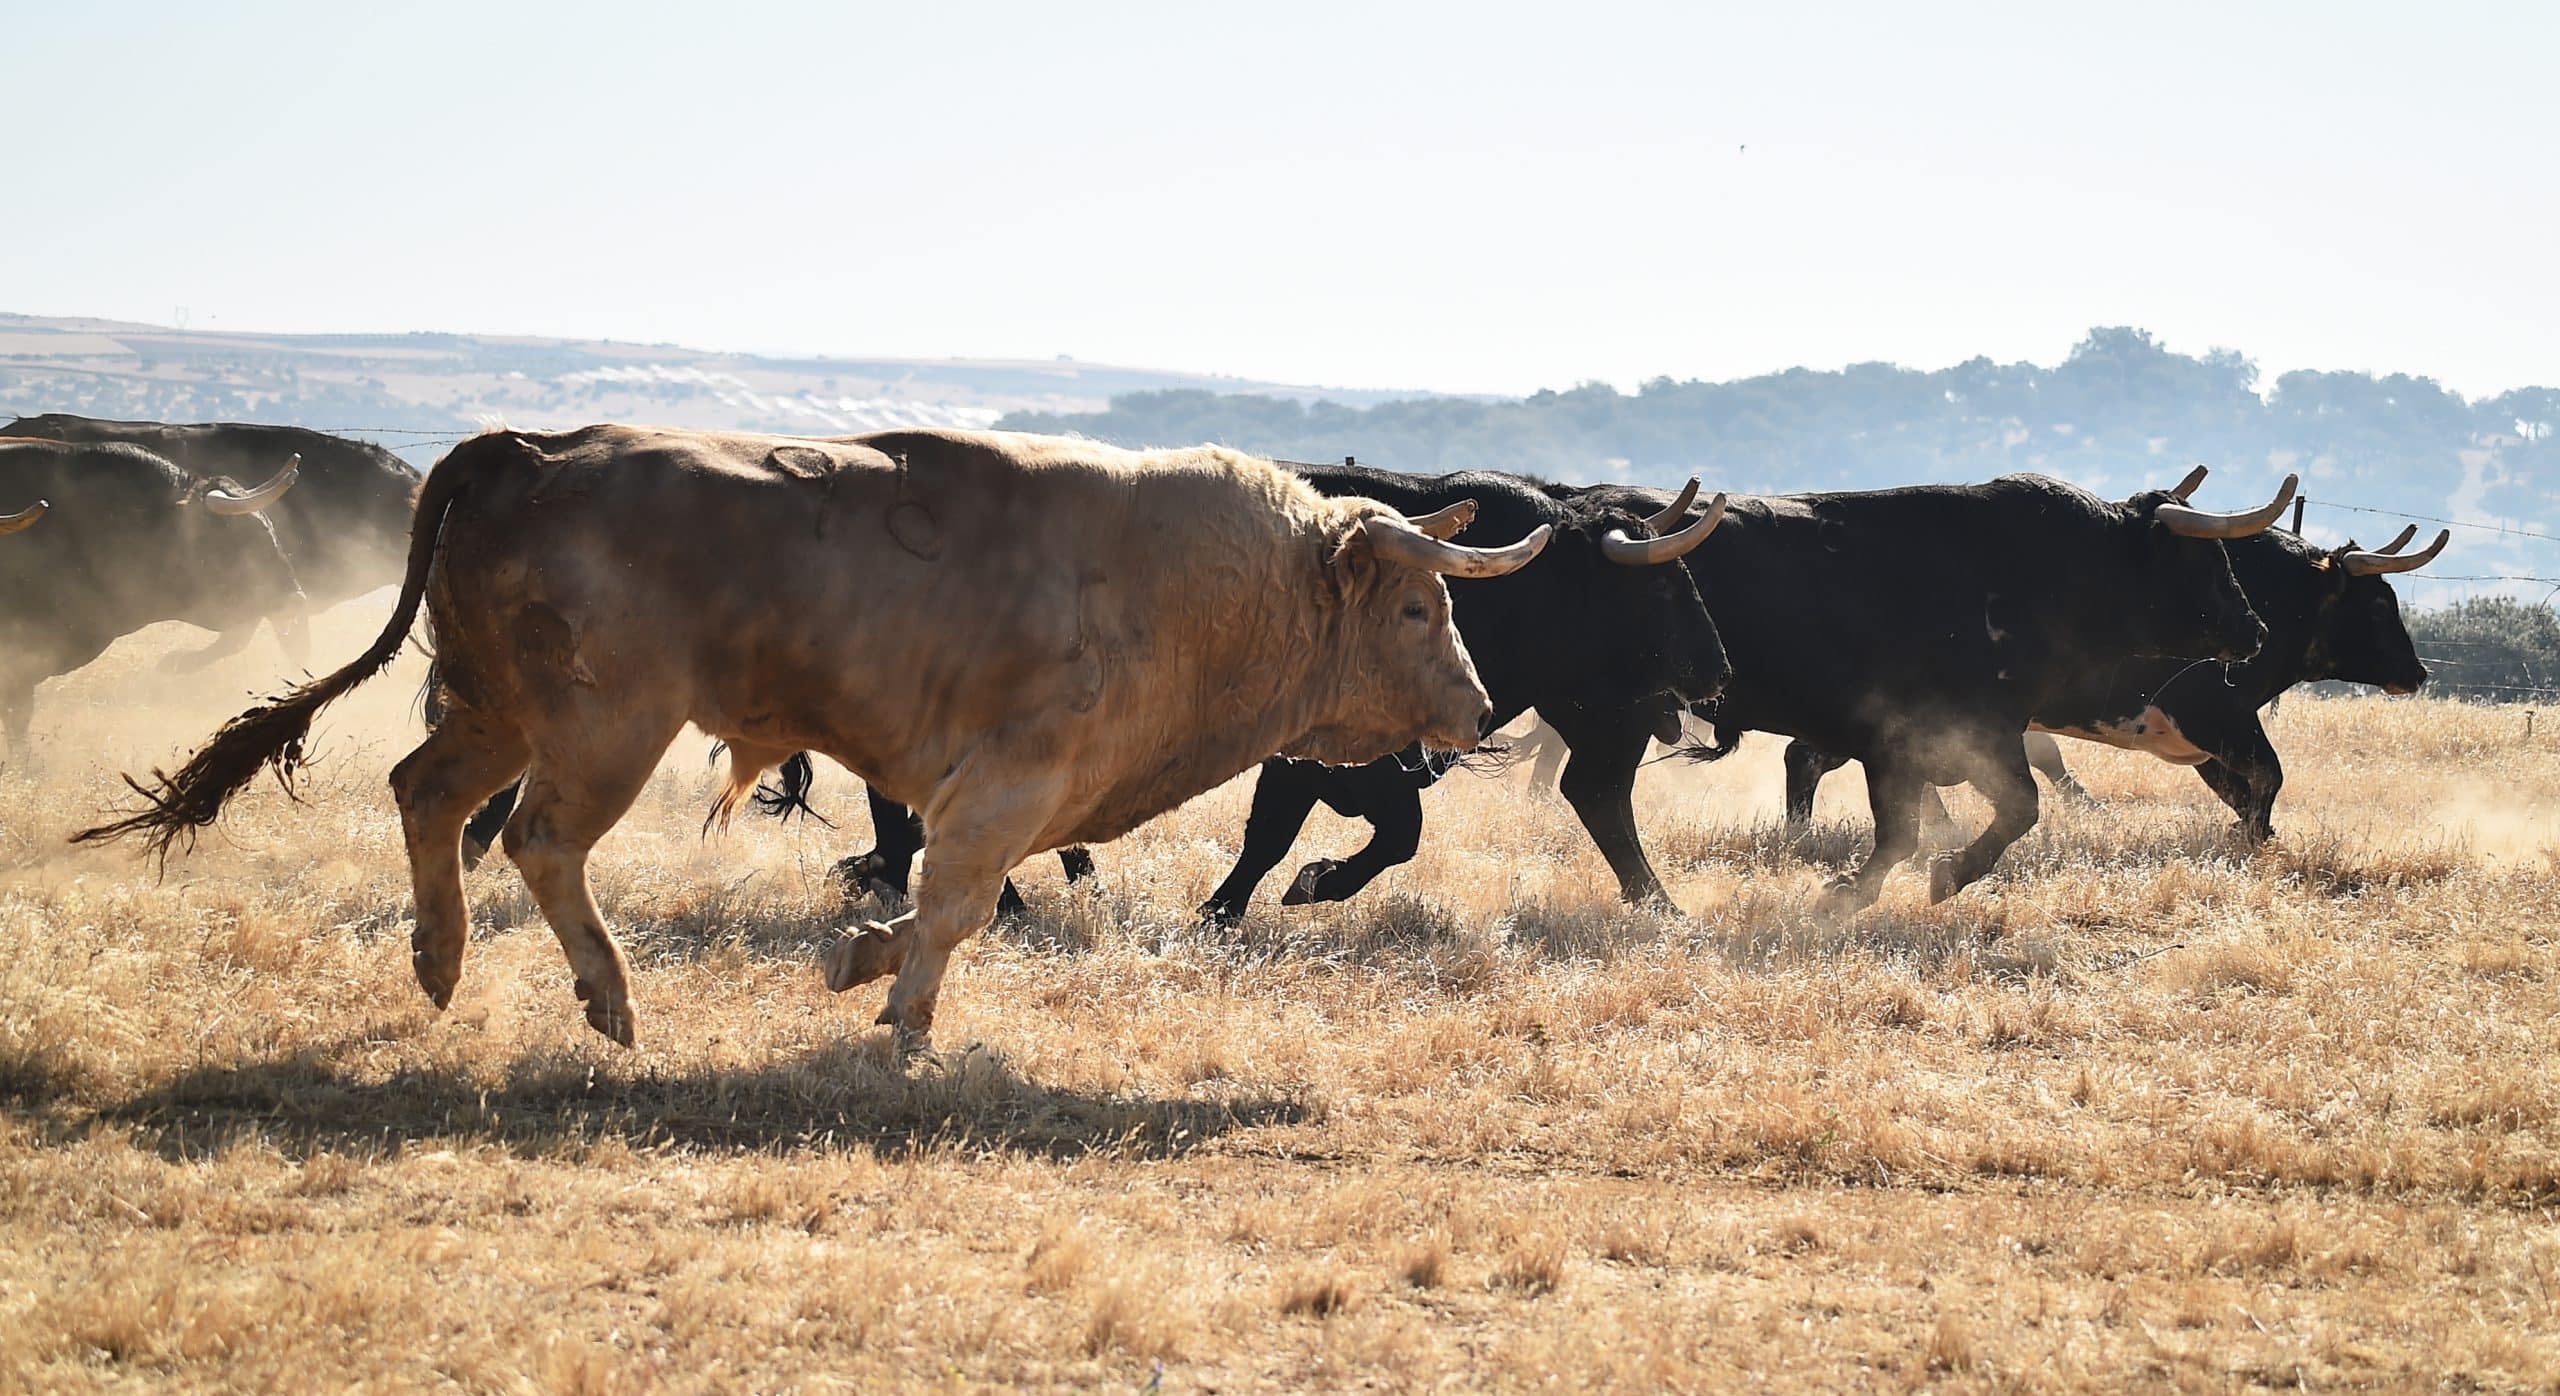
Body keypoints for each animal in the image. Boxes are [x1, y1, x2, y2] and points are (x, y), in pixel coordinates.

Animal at [80, 425, 1546, 1045]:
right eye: (1417, 604)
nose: (1477, 712)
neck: (1189, 582)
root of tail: (528, 450)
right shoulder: (1010, 781)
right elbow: (954, 903)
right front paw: (901, 1012)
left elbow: (940, 901)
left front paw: (862, 961)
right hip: (604, 725)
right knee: (542, 839)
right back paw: (608, 997)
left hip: (499, 708)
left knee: (427, 792)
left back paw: (439, 964)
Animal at [1781, 519, 2437, 840]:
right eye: (2379, 606)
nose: (2418, 672)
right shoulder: (2216, 713)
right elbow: (2266, 777)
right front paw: (2250, 839)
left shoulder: (2207, 736)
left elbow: (2243, 788)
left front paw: (2252, 834)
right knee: (1806, 757)